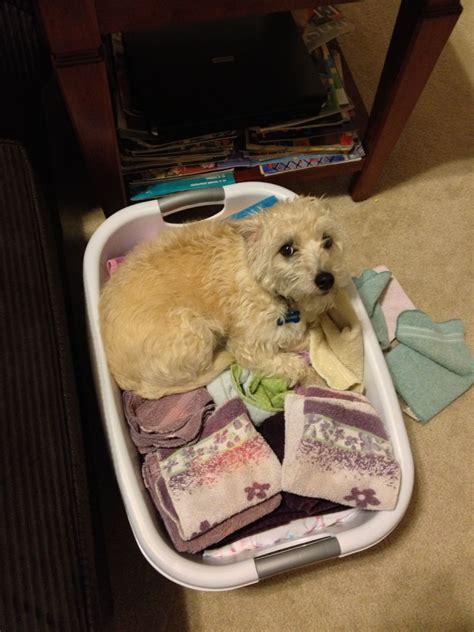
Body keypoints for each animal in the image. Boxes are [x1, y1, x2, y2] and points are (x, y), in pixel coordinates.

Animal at [99, 198, 348, 398]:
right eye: (286, 249)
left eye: (327, 241)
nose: (326, 279)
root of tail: (124, 379)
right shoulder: (248, 347)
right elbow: (295, 364)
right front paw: (317, 383)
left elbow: (310, 336)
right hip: (195, 331)